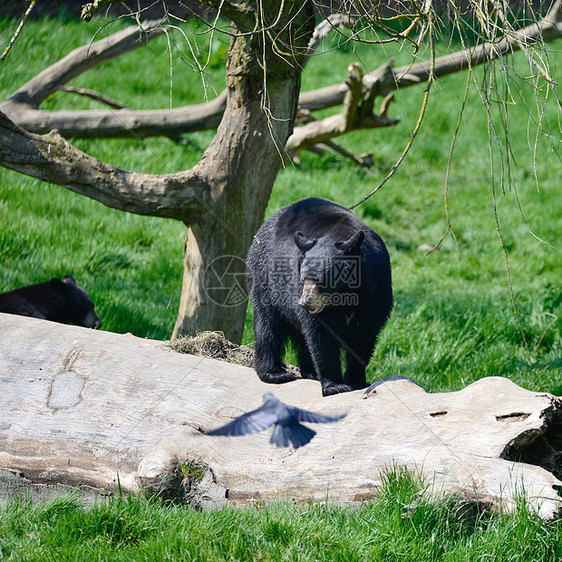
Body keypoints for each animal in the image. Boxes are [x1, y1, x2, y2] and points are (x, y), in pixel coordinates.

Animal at [247, 199, 392, 396]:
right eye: (303, 277)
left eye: (321, 280)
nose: (304, 302)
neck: (346, 294)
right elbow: (322, 336)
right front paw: (335, 386)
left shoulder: (375, 292)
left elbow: (363, 336)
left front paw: (358, 381)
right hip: (265, 279)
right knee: (268, 326)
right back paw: (275, 373)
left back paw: (311, 372)